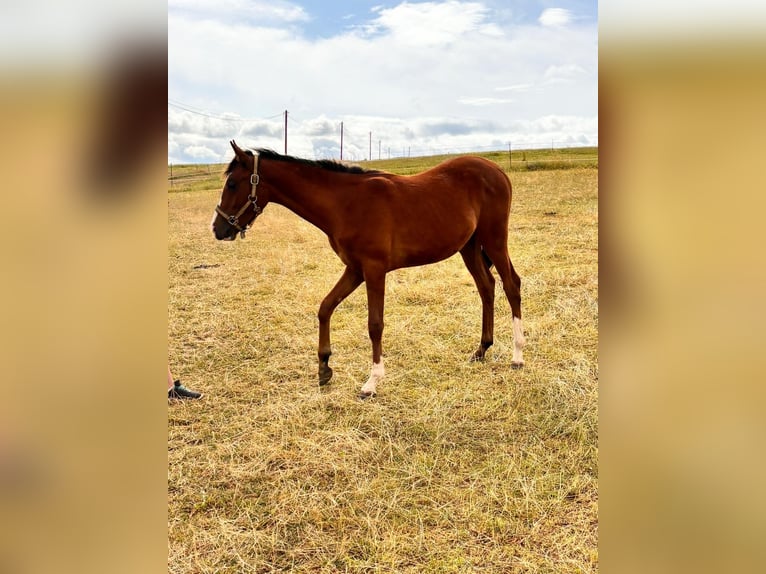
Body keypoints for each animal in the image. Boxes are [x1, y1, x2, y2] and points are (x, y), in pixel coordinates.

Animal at [212, 140, 525, 399]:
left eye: (233, 184)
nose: (218, 228)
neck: (345, 203)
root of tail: (497, 170)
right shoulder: (354, 269)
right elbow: (325, 307)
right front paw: (324, 367)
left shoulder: (374, 270)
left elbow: (375, 325)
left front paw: (372, 382)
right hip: (469, 246)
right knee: (487, 287)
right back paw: (482, 349)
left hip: (494, 239)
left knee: (512, 285)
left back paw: (517, 356)